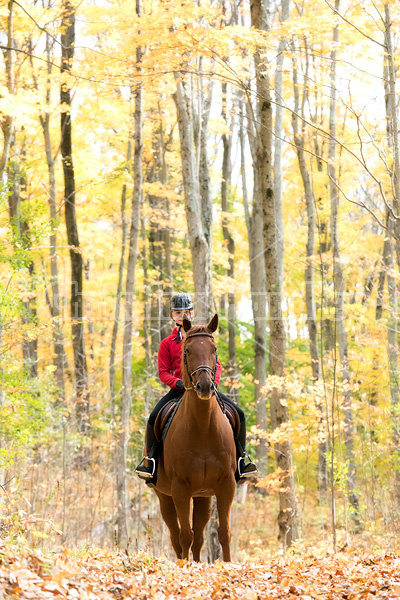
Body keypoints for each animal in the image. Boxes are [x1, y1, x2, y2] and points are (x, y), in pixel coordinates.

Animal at [152, 314, 234, 564]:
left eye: (214, 349)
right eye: (187, 351)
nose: (205, 386)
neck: (203, 428)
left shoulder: (226, 483)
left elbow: (223, 532)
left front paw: (228, 565)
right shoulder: (180, 488)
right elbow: (184, 535)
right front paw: (184, 567)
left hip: (203, 496)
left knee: (198, 536)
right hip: (165, 496)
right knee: (176, 535)